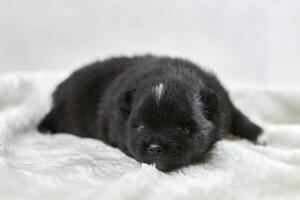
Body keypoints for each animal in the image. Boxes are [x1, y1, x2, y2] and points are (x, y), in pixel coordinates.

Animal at [38, 55, 262, 171]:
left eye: (184, 129)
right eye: (140, 126)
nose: (155, 148)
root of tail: (62, 85)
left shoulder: (223, 102)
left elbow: (239, 117)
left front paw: (260, 135)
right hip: (67, 110)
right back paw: (45, 128)